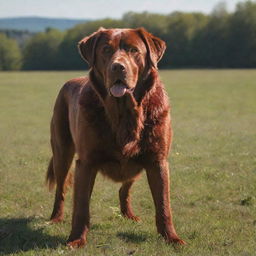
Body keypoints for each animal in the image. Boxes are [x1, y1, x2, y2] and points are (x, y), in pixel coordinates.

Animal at [46, 27, 185, 247]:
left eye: (134, 50)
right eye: (105, 49)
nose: (118, 67)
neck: (124, 113)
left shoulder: (157, 161)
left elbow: (164, 205)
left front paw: (171, 237)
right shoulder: (86, 163)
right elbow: (81, 206)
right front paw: (76, 239)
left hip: (137, 161)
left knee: (124, 188)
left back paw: (129, 214)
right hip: (62, 152)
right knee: (61, 188)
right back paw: (55, 218)